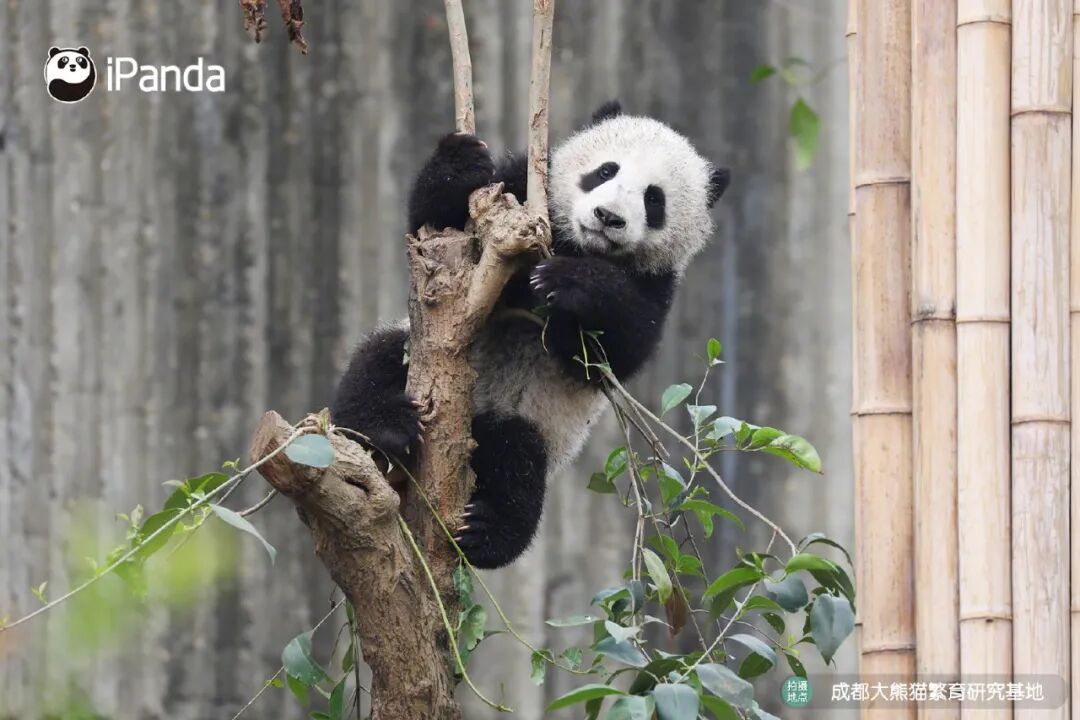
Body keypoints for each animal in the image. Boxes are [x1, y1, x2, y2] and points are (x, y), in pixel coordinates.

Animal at [332, 100, 729, 569]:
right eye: (605, 171)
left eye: (654, 199)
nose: (608, 217)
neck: (579, 244)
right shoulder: (519, 195)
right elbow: (433, 224)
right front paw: (461, 163)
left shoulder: (658, 283)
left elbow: (618, 351)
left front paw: (572, 281)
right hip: (409, 351)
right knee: (376, 363)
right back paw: (387, 427)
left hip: (532, 423)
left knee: (517, 464)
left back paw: (484, 531)